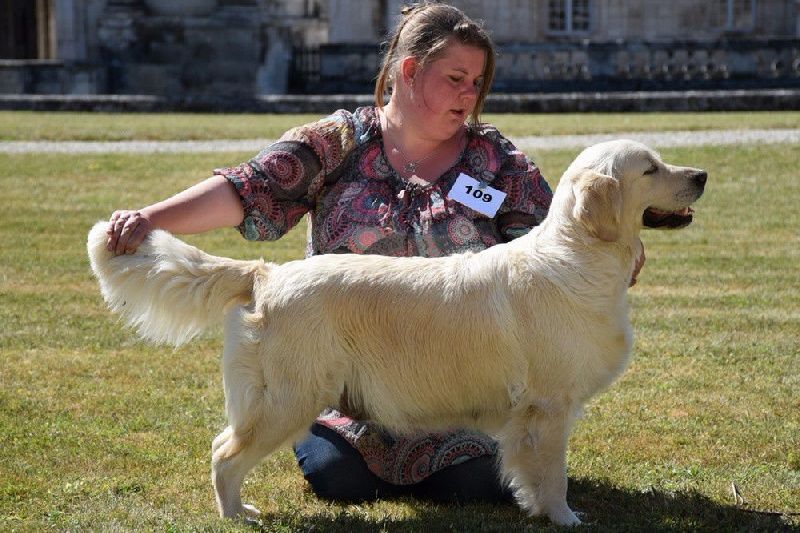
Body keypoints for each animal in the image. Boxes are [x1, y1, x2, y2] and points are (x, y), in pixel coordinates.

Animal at [87, 139, 708, 524]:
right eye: (650, 168)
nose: (701, 175)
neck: (577, 257)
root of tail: (266, 273)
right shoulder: (549, 406)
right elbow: (553, 475)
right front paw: (565, 517)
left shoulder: (531, 415)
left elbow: (529, 473)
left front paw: (534, 508)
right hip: (287, 399)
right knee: (224, 453)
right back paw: (236, 515)